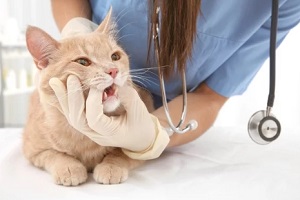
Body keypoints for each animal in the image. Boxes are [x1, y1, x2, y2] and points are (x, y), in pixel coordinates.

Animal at [22, 9, 154, 186]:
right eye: (82, 62)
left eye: (115, 57)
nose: (113, 70)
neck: (85, 133)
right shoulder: (33, 150)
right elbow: (54, 154)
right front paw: (69, 167)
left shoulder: (141, 146)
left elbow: (120, 153)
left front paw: (111, 166)